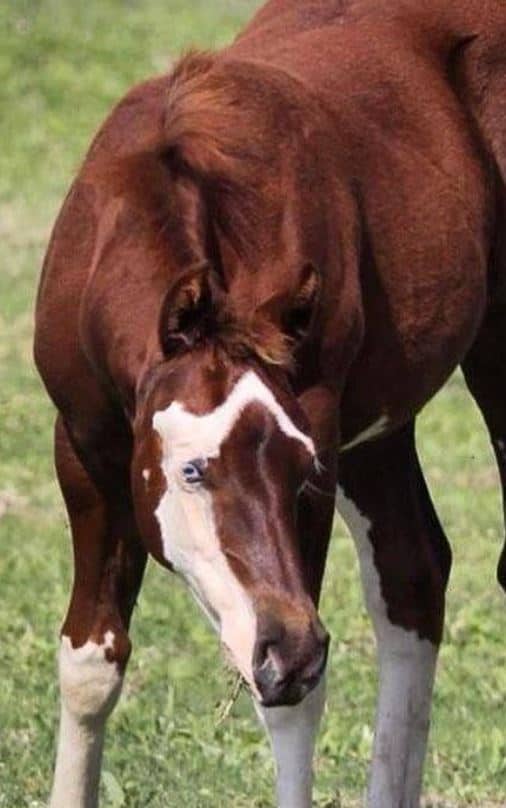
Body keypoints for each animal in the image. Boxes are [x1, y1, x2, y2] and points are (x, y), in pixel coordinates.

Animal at [34, 0, 506, 805]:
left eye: (302, 473)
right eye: (192, 470)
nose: (289, 648)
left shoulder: (321, 437)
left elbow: (294, 704)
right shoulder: (85, 449)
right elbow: (90, 662)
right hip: (380, 430)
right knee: (413, 574)